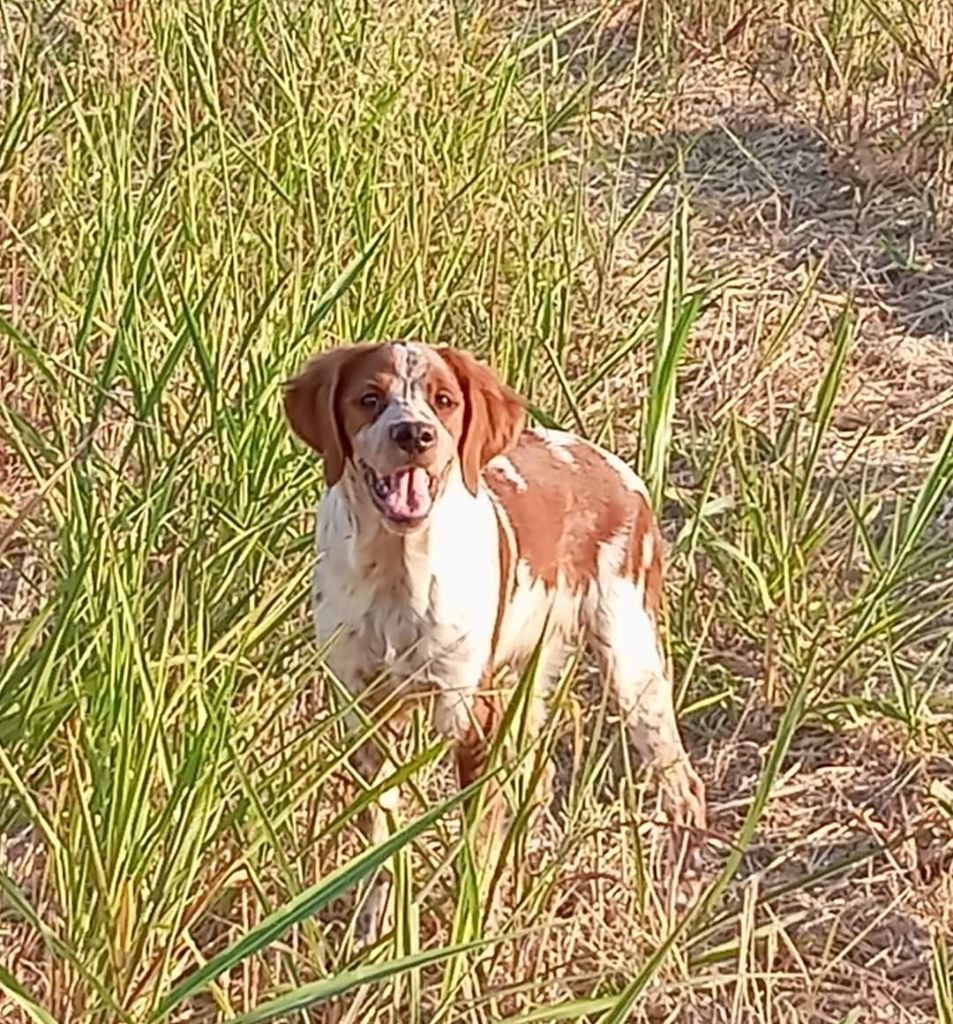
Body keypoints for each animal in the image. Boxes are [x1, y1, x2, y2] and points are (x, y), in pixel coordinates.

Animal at [284, 341, 705, 941]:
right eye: (369, 398)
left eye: (444, 400)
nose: (414, 435)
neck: (396, 571)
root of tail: (619, 470)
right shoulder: (363, 713)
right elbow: (380, 837)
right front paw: (371, 932)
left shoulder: (469, 716)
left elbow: (476, 842)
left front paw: (468, 936)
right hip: (525, 678)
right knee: (538, 778)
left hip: (632, 666)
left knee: (682, 787)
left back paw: (676, 900)